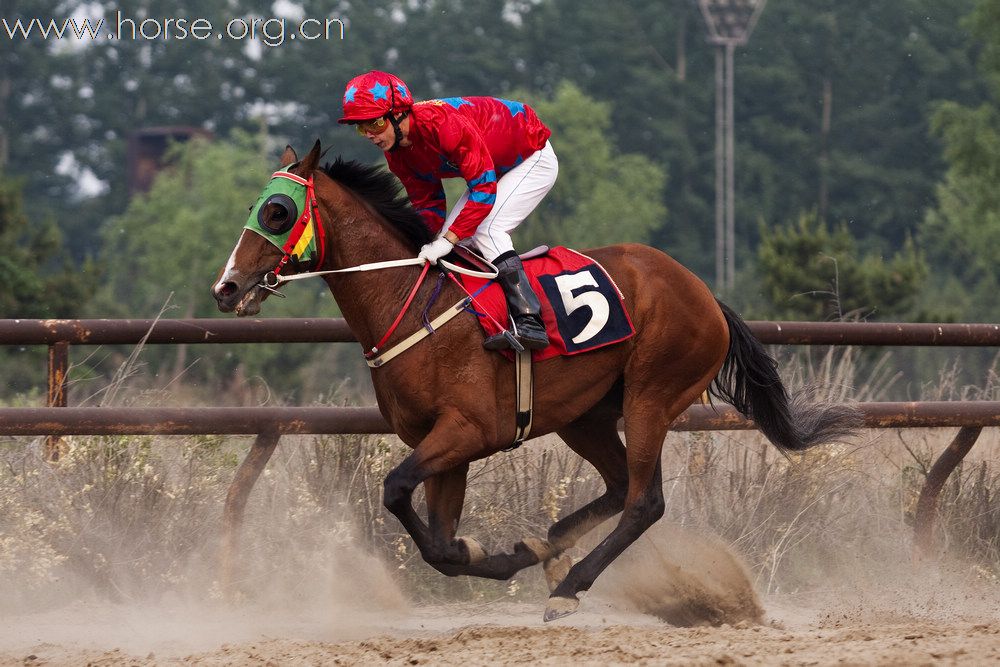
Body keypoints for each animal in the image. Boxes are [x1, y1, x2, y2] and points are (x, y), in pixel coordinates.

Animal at [213, 141, 860, 620]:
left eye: (277, 211)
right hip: (586, 415)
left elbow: (396, 490)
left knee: (644, 501)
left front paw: (498, 558)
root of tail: (704, 293)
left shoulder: (467, 431)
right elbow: (441, 544)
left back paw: (570, 588)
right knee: (620, 487)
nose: (226, 288)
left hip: (652, 396)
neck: (411, 302)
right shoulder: (444, 444)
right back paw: (547, 547)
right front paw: (497, 554)